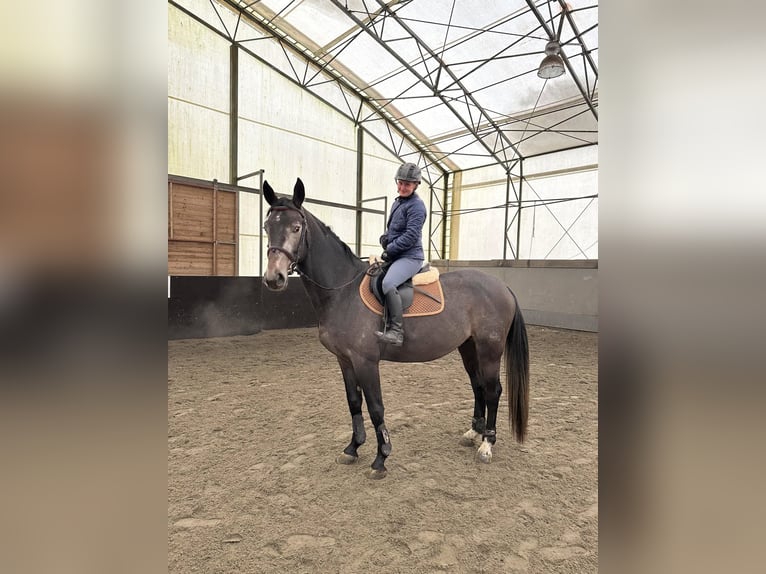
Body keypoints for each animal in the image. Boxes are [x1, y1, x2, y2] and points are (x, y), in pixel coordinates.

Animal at [262, 177, 529, 479]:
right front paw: (353, 448)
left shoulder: (366, 361)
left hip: (490, 349)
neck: (342, 291)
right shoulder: (344, 360)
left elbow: (376, 407)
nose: (274, 278)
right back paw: (474, 433)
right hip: (469, 347)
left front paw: (381, 458)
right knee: (478, 386)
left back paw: (487, 444)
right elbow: (354, 402)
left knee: (493, 390)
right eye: (267, 227)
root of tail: (502, 286)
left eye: (296, 228)